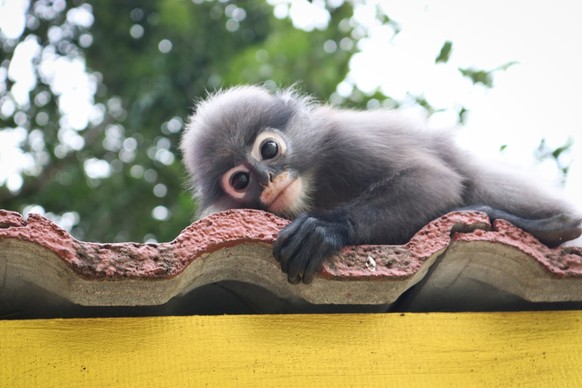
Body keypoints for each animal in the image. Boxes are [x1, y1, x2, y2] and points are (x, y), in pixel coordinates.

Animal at [181, 86, 582, 284]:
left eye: (268, 149)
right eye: (241, 180)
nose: (267, 180)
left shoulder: (345, 140)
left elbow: (434, 180)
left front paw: (325, 228)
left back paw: (552, 224)